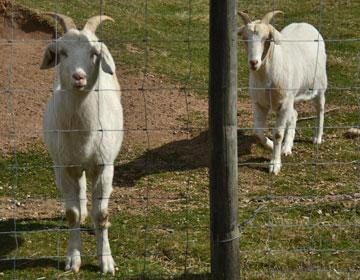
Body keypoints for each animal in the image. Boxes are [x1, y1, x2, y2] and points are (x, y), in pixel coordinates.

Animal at [40, 14, 122, 274]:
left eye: (94, 53)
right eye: (63, 52)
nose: (79, 77)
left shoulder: (104, 166)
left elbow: (103, 213)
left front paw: (106, 261)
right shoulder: (64, 167)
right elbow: (72, 214)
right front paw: (73, 259)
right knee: (80, 188)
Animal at [238, 10, 328, 175]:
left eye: (266, 38)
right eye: (245, 38)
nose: (253, 63)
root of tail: (304, 23)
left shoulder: (283, 104)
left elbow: (278, 134)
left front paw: (274, 164)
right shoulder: (259, 103)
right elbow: (258, 131)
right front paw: (271, 146)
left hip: (319, 86)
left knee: (320, 109)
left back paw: (317, 138)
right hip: (290, 97)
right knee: (294, 115)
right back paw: (286, 147)